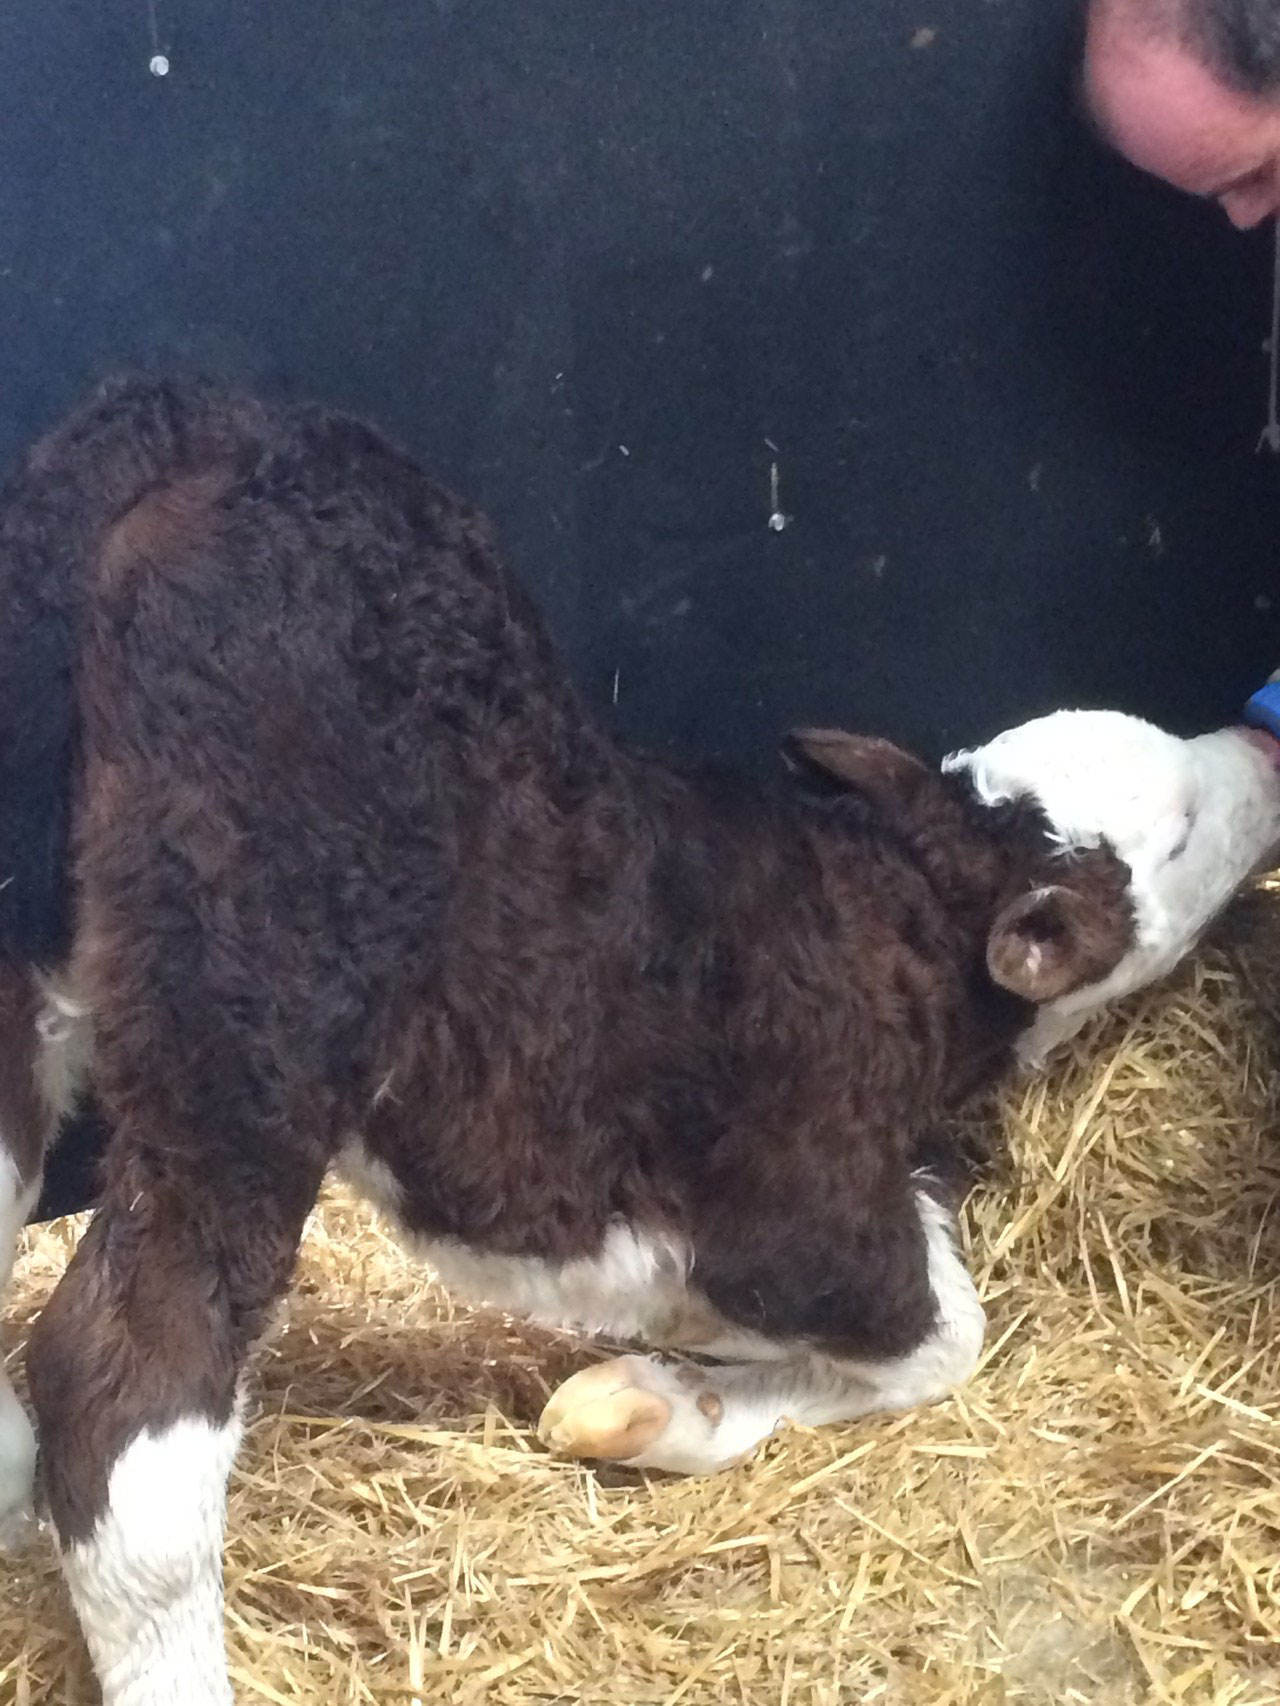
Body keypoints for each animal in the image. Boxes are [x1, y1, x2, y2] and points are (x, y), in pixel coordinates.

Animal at [0, 377, 1276, 1706]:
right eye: (1179, 832)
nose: (1258, 741)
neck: (885, 920)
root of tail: (197, 433)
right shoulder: (783, 1216)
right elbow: (940, 1331)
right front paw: (669, 1401)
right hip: (253, 1009)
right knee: (125, 1375)